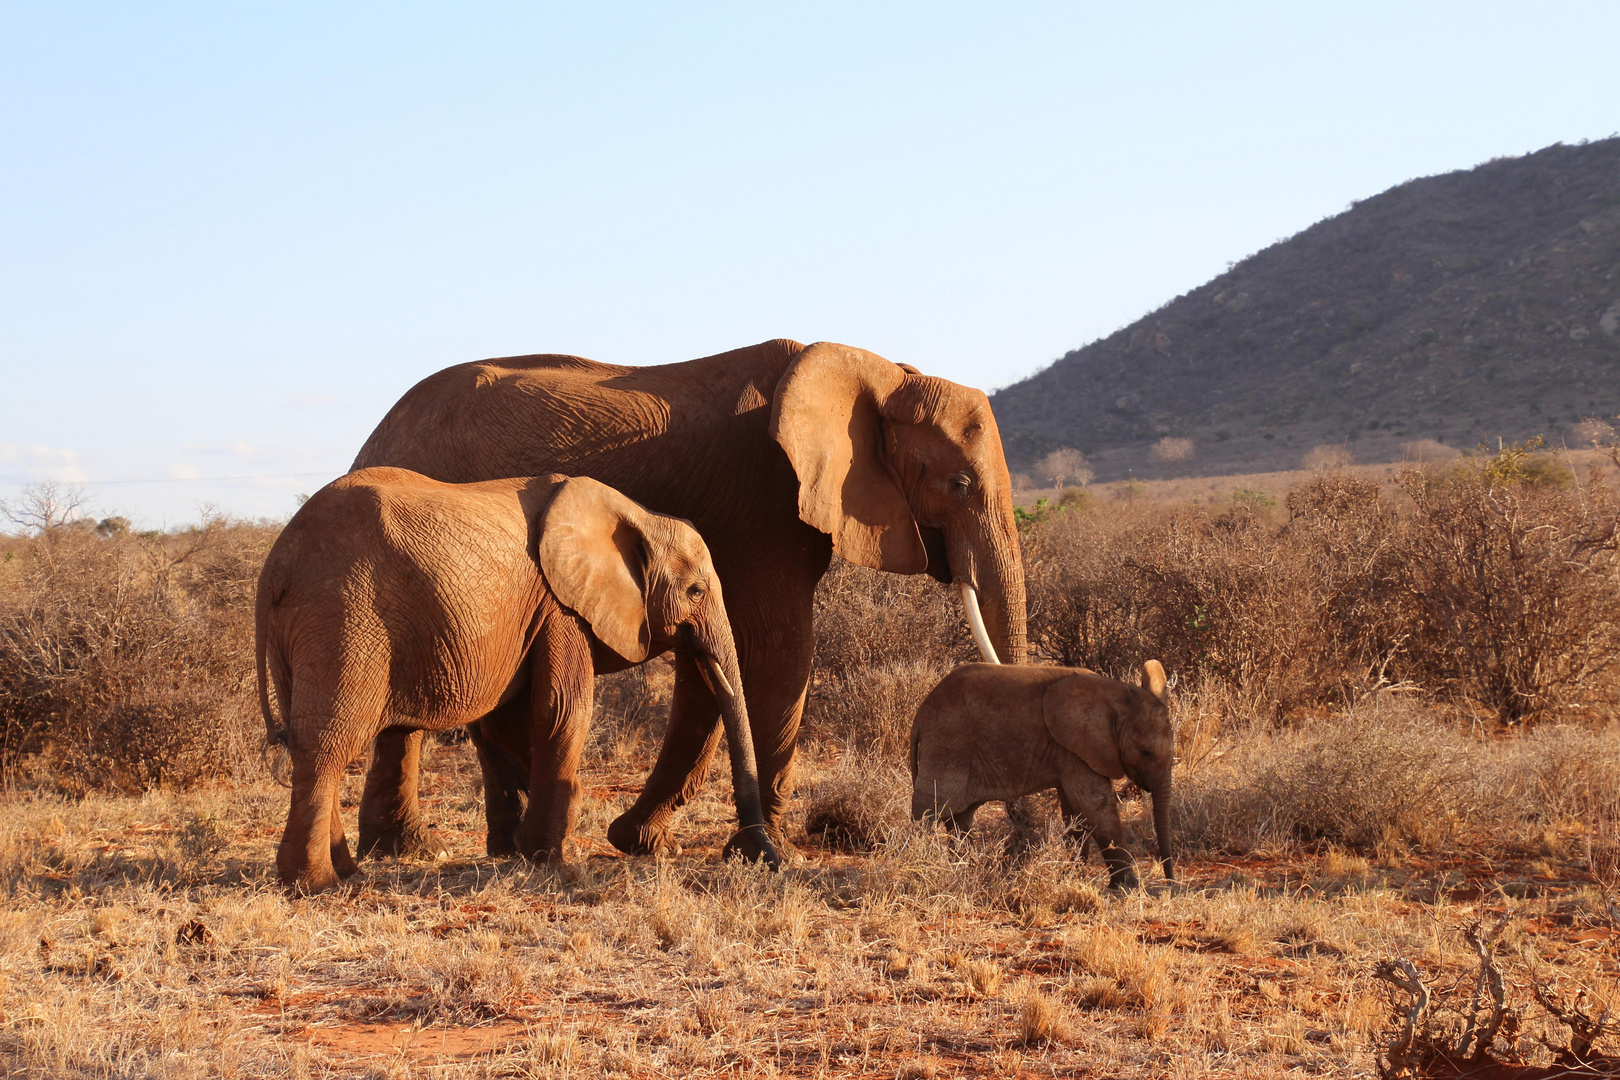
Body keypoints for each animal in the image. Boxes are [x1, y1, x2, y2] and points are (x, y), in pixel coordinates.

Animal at [257, 469, 777, 893]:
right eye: (696, 591)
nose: (758, 857)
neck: (635, 514)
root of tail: (277, 563)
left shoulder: (531, 615)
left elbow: (504, 722)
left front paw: (524, 845)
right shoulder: (559, 605)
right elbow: (561, 709)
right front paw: (551, 859)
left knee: (312, 741)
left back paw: (347, 872)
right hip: (345, 616)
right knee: (329, 743)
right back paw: (318, 884)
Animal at [349, 338, 1030, 861]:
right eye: (960, 484)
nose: (1018, 844)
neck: (881, 372)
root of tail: (374, 437)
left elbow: (714, 669)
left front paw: (642, 842)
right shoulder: (764, 499)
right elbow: (775, 652)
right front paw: (755, 854)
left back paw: (432, 848)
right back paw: (415, 850)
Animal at [907, 663, 1172, 893]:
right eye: (1146, 752)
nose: (1171, 886)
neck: (1116, 693)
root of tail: (921, 712)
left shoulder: (1070, 751)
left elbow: (1075, 812)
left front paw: (1071, 877)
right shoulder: (1075, 748)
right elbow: (1095, 806)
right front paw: (1128, 888)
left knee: (959, 817)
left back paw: (965, 870)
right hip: (947, 747)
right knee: (928, 810)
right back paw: (917, 868)